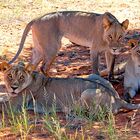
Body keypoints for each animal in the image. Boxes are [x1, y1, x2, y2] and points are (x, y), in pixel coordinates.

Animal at [0, 61, 139, 114]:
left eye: (21, 77)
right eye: (10, 76)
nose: (13, 87)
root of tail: (118, 99)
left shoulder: (13, 106)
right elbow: (3, 96)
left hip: (87, 92)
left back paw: (71, 110)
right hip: (93, 75)